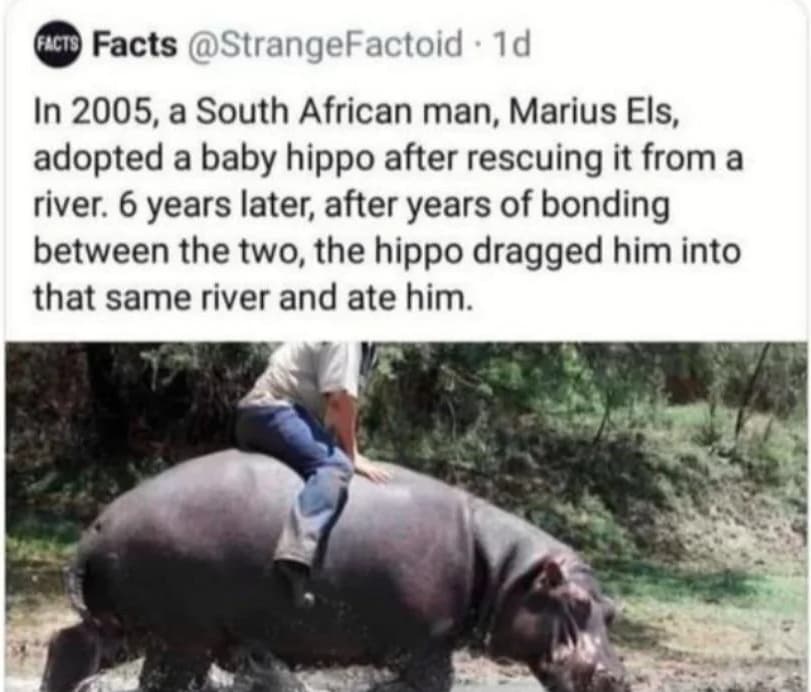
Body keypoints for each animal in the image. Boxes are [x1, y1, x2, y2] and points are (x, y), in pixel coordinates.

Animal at [41, 450, 629, 692]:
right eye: (576, 602)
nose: (618, 678)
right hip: (180, 638)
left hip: (132, 627)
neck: (505, 570)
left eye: (613, 611)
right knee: (161, 682)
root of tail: (97, 527)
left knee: (68, 649)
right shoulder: (426, 647)